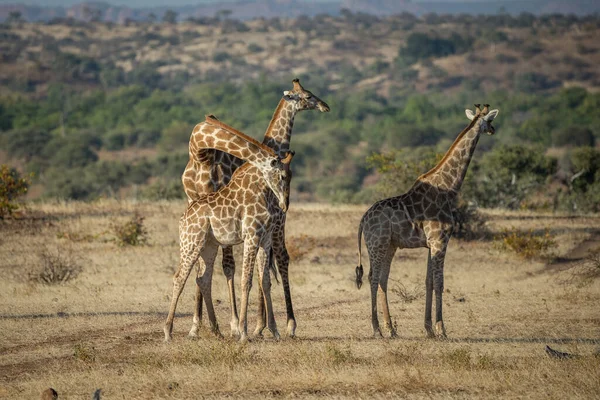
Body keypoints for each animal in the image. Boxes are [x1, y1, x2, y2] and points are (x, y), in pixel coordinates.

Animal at [164, 114, 296, 342]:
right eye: (281, 176)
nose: (284, 205)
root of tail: (183, 219)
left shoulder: (265, 239)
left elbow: (265, 281)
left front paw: (274, 331)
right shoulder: (252, 235)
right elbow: (246, 281)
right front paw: (242, 332)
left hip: (208, 246)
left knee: (202, 279)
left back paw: (216, 330)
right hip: (191, 243)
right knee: (180, 277)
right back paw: (168, 331)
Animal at [183, 79, 330, 338]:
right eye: (308, 96)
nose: (325, 106)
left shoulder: (266, 226)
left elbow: (264, 273)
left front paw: (261, 326)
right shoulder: (276, 221)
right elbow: (274, 263)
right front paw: (274, 325)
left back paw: (204, 326)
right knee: (232, 265)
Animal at [354, 104, 500, 340]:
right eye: (489, 120)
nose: (493, 130)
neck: (449, 188)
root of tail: (363, 220)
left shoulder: (431, 243)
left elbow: (429, 282)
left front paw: (429, 328)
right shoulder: (440, 240)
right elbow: (440, 283)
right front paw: (442, 329)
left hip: (390, 246)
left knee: (383, 279)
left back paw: (391, 329)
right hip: (377, 244)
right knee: (372, 278)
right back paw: (377, 330)